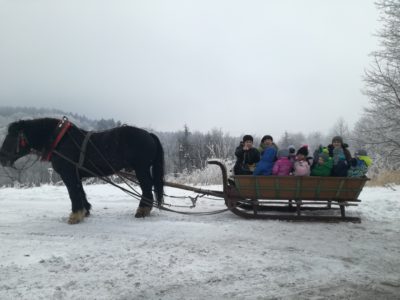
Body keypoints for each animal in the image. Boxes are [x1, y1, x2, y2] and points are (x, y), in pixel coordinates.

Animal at [0, 117, 164, 223]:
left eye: (11, 136)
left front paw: (75, 215)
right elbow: (80, 191)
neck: (61, 140)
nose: (2, 158)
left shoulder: (68, 173)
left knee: (147, 187)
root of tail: (149, 134)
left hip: (141, 169)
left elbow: (73, 192)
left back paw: (142, 210)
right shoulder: (76, 174)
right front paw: (85, 210)